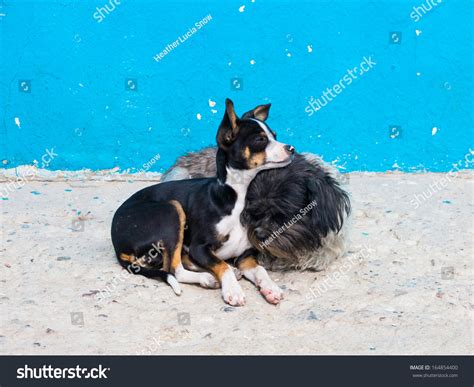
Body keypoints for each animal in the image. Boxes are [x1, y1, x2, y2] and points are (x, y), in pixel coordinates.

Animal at [112, 99, 294, 306]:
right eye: (260, 140)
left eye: (275, 136)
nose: (291, 148)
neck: (236, 197)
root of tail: (117, 242)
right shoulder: (199, 247)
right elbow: (221, 265)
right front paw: (232, 290)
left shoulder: (245, 256)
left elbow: (260, 270)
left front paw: (270, 288)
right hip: (172, 209)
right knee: (175, 269)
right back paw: (208, 278)